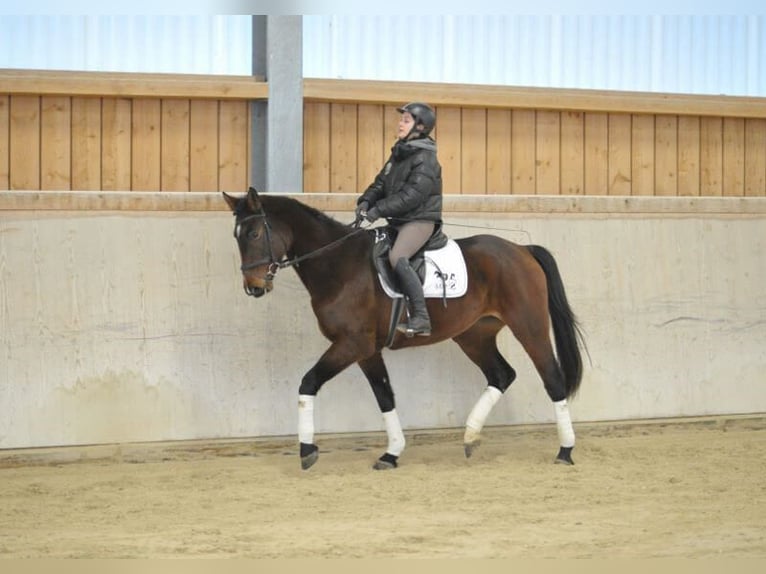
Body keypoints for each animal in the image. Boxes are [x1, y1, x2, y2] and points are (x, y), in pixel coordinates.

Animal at [224, 189, 588, 472]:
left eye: (254, 234)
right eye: (237, 236)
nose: (254, 286)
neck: (339, 266)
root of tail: (522, 250)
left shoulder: (351, 344)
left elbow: (309, 382)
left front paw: (307, 450)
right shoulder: (367, 350)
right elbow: (385, 395)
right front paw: (392, 453)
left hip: (529, 327)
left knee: (552, 379)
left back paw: (565, 450)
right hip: (474, 335)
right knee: (501, 374)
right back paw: (471, 437)